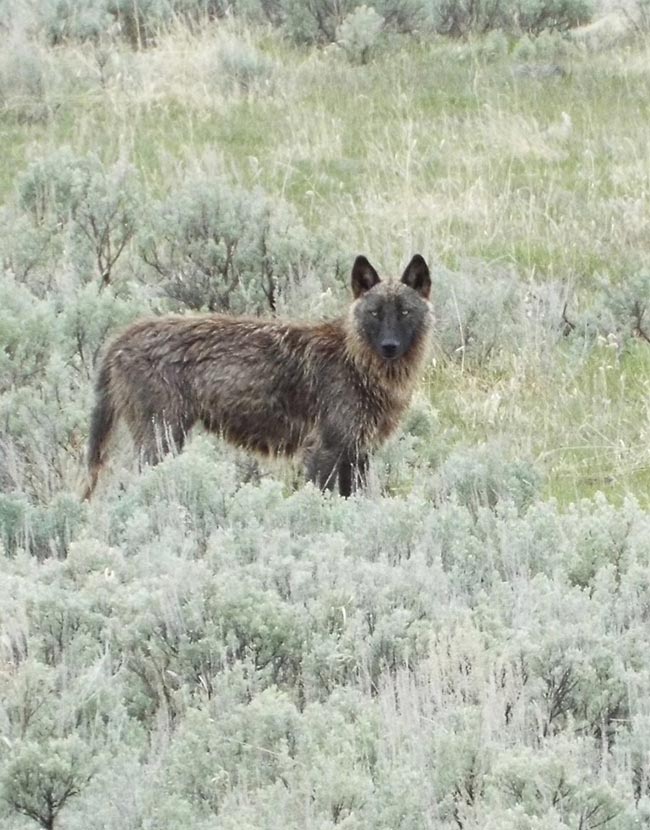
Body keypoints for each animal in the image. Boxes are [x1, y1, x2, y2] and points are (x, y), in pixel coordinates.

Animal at [85, 256, 430, 498]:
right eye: (375, 313)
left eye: (404, 312)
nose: (389, 347)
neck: (357, 363)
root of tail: (122, 336)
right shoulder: (323, 451)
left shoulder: (357, 455)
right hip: (161, 439)